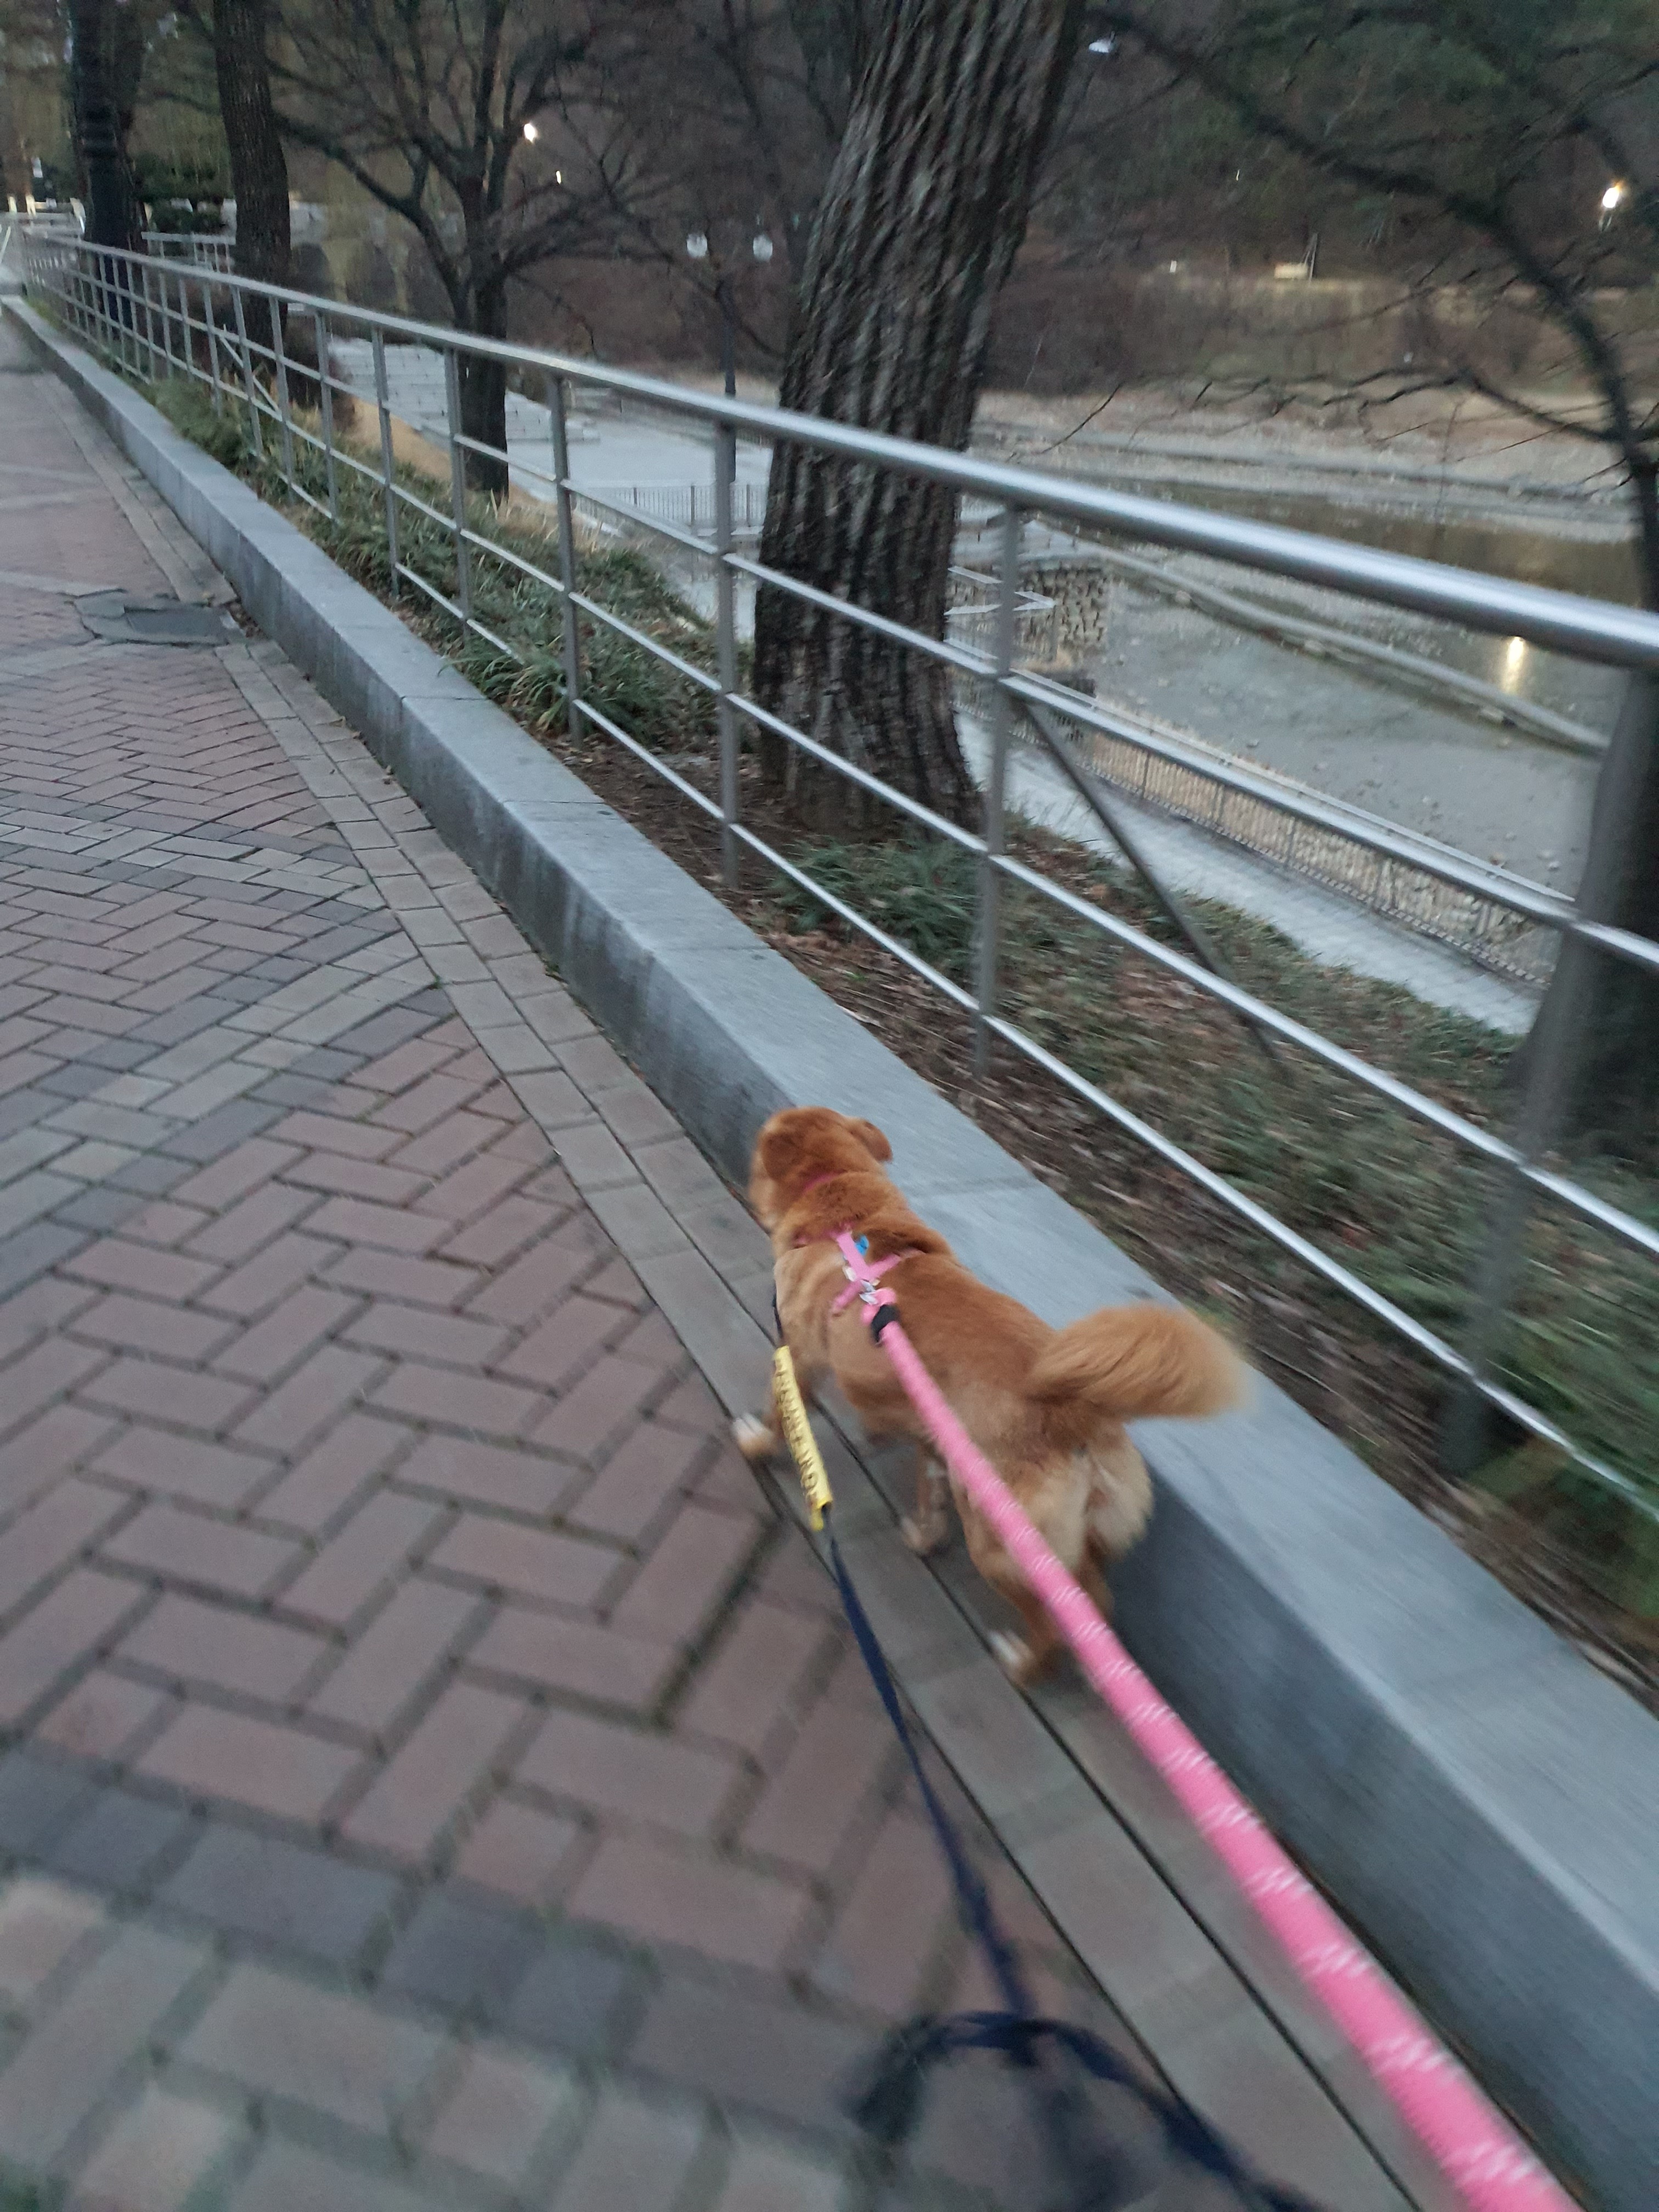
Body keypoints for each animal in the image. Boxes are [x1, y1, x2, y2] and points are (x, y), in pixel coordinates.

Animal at [737, 1106, 1243, 1684]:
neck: (844, 1215)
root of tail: (1075, 1414)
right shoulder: (935, 1437)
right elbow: (929, 1494)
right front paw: (925, 1536)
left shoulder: (797, 1359)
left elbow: (780, 1417)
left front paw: (757, 1445)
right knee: (1095, 1601)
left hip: (1000, 1546)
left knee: (1050, 1624)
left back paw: (1022, 1662)